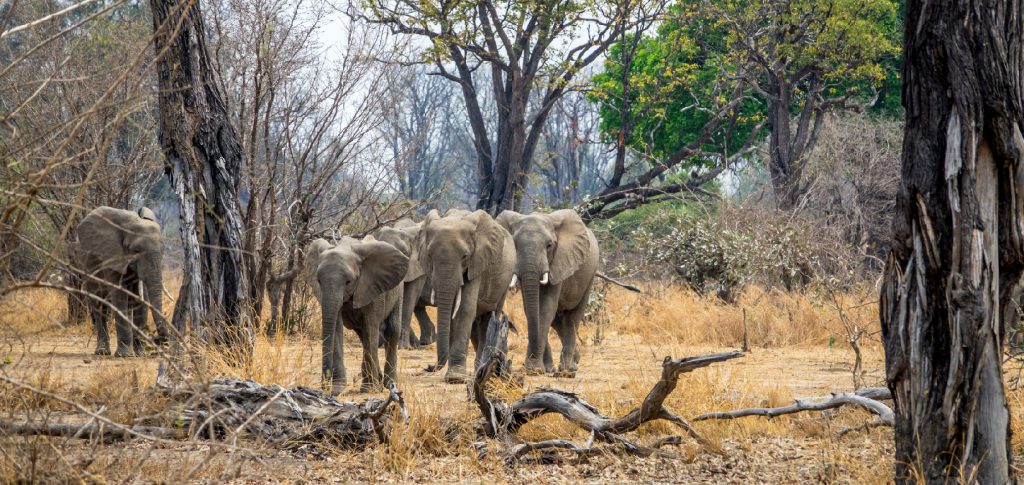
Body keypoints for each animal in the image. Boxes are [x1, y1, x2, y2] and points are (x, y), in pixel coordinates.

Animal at [74, 205, 169, 356]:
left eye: (163, 250)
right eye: (136, 250)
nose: (157, 339)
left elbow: (141, 298)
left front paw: (140, 354)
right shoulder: (111, 255)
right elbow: (119, 295)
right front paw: (125, 355)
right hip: (85, 266)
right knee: (98, 302)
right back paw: (102, 352)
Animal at [305, 235, 409, 394]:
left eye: (348, 281)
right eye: (318, 281)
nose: (324, 386)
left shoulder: (372, 287)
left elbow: (371, 327)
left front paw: (368, 389)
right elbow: (336, 327)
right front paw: (337, 389)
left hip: (398, 291)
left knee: (391, 330)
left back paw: (388, 384)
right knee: (363, 336)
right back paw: (379, 382)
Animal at [380, 219, 436, 347]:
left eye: (405, 252)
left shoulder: (420, 267)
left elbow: (409, 298)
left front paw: (403, 347)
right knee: (419, 308)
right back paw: (425, 342)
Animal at [413, 208, 516, 382]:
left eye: (465, 256)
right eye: (430, 255)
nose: (428, 367)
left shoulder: (477, 262)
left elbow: (464, 310)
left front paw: (455, 378)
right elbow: (452, 313)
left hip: (503, 283)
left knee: (490, 318)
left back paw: (480, 370)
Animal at [495, 208, 598, 378]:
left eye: (549, 245)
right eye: (514, 244)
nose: (530, 367)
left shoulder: (559, 260)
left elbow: (546, 308)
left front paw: (534, 369)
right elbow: (530, 309)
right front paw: (543, 369)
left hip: (590, 275)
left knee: (573, 317)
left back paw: (567, 370)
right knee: (557, 321)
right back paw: (571, 363)